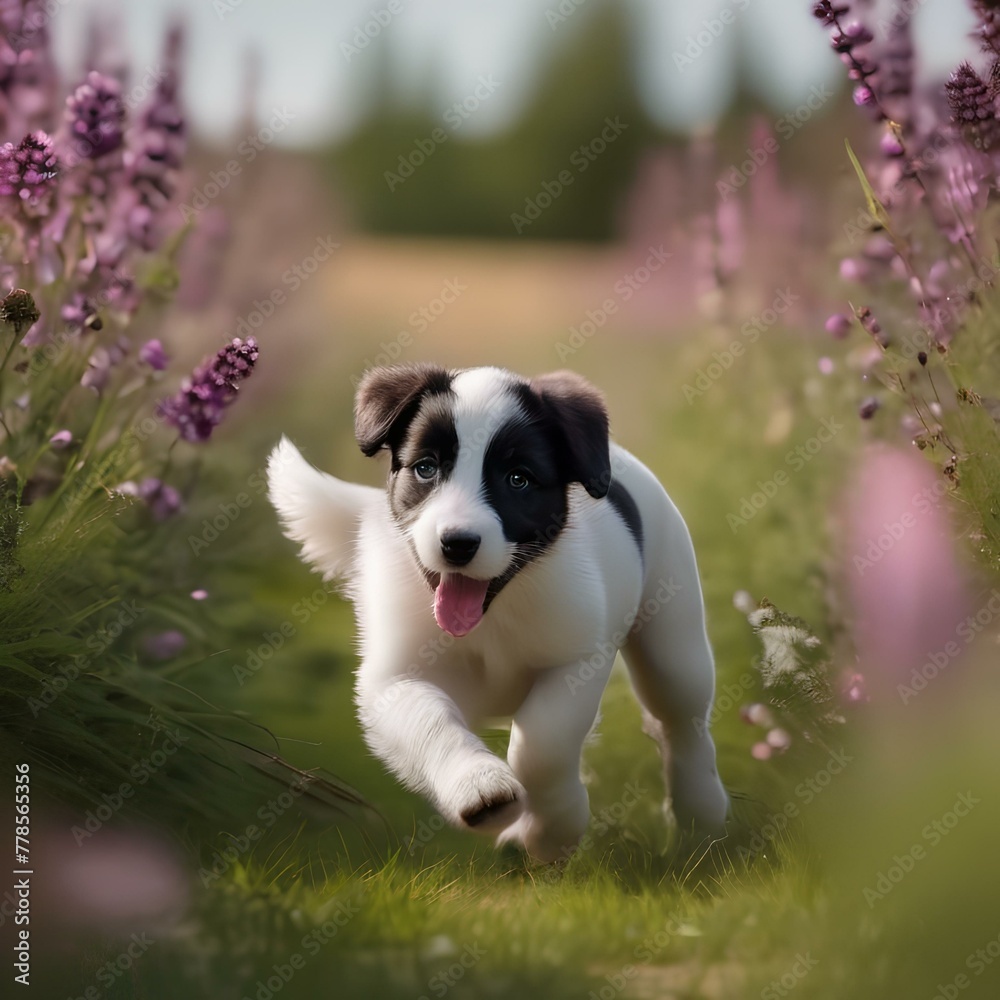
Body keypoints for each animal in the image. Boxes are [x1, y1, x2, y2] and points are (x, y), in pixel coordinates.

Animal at [270, 366, 732, 860]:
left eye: (518, 479)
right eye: (426, 468)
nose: (457, 543)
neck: (492, 616)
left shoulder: (576, 660)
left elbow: (542, 745)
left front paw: (552, 831)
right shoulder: (393, 679)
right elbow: (432, 720)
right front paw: (481, 788)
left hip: (673, 635)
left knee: (680, 721)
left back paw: (702, 812)